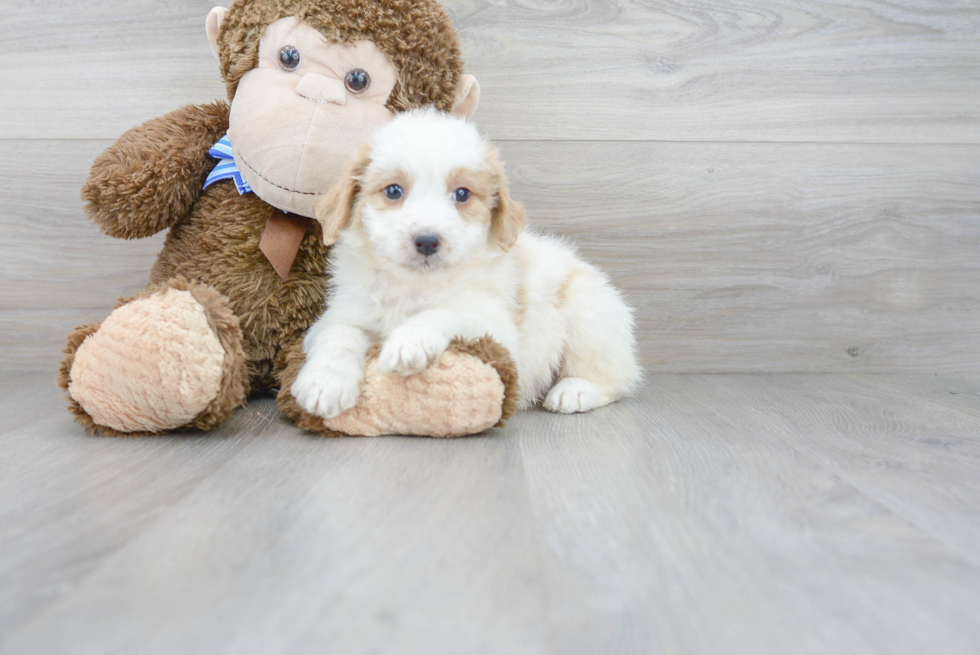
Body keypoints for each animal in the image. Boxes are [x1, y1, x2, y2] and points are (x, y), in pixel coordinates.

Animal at [290, 110, 640, 420]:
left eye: (462, 194)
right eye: (393, 191)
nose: (427, 241)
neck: (415, 286)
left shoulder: (498, 331)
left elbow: (446, 313)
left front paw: (407, 341)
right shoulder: (341, 315)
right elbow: (338, 335)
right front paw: (325, 383)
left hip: (587, 308)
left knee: (617, 378)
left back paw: (575, 390)